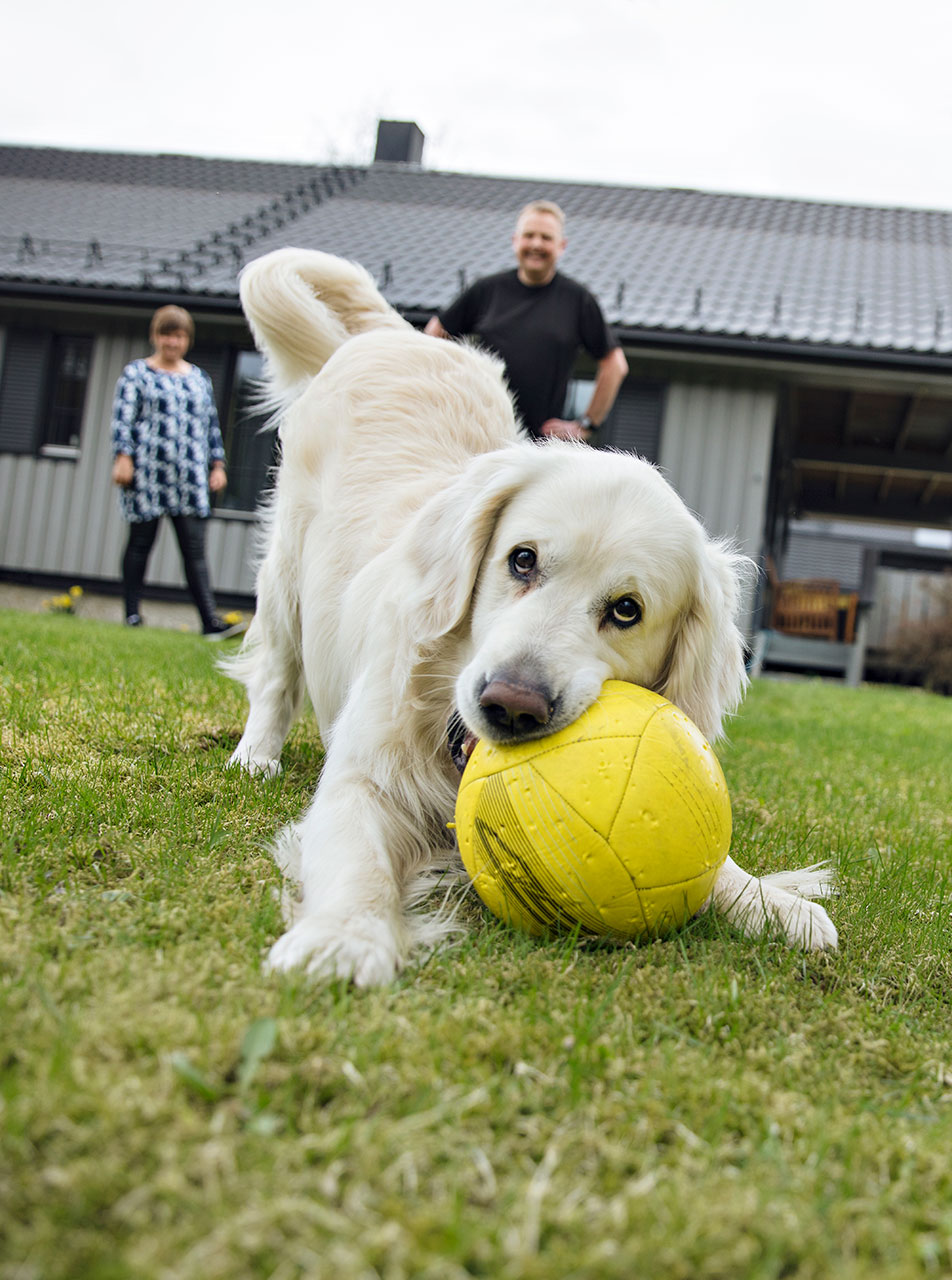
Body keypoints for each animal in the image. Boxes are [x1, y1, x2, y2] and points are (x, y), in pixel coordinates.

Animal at [225, 252, 834, 988]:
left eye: (626, 610)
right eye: (522, 560)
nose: (512, 705)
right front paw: (344, 936)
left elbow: (712, 862)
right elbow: (359, 861)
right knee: (276, 673)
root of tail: (395, 337)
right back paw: (256, 754)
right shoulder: (361, 780)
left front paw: (772, 903)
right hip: (285, 566)